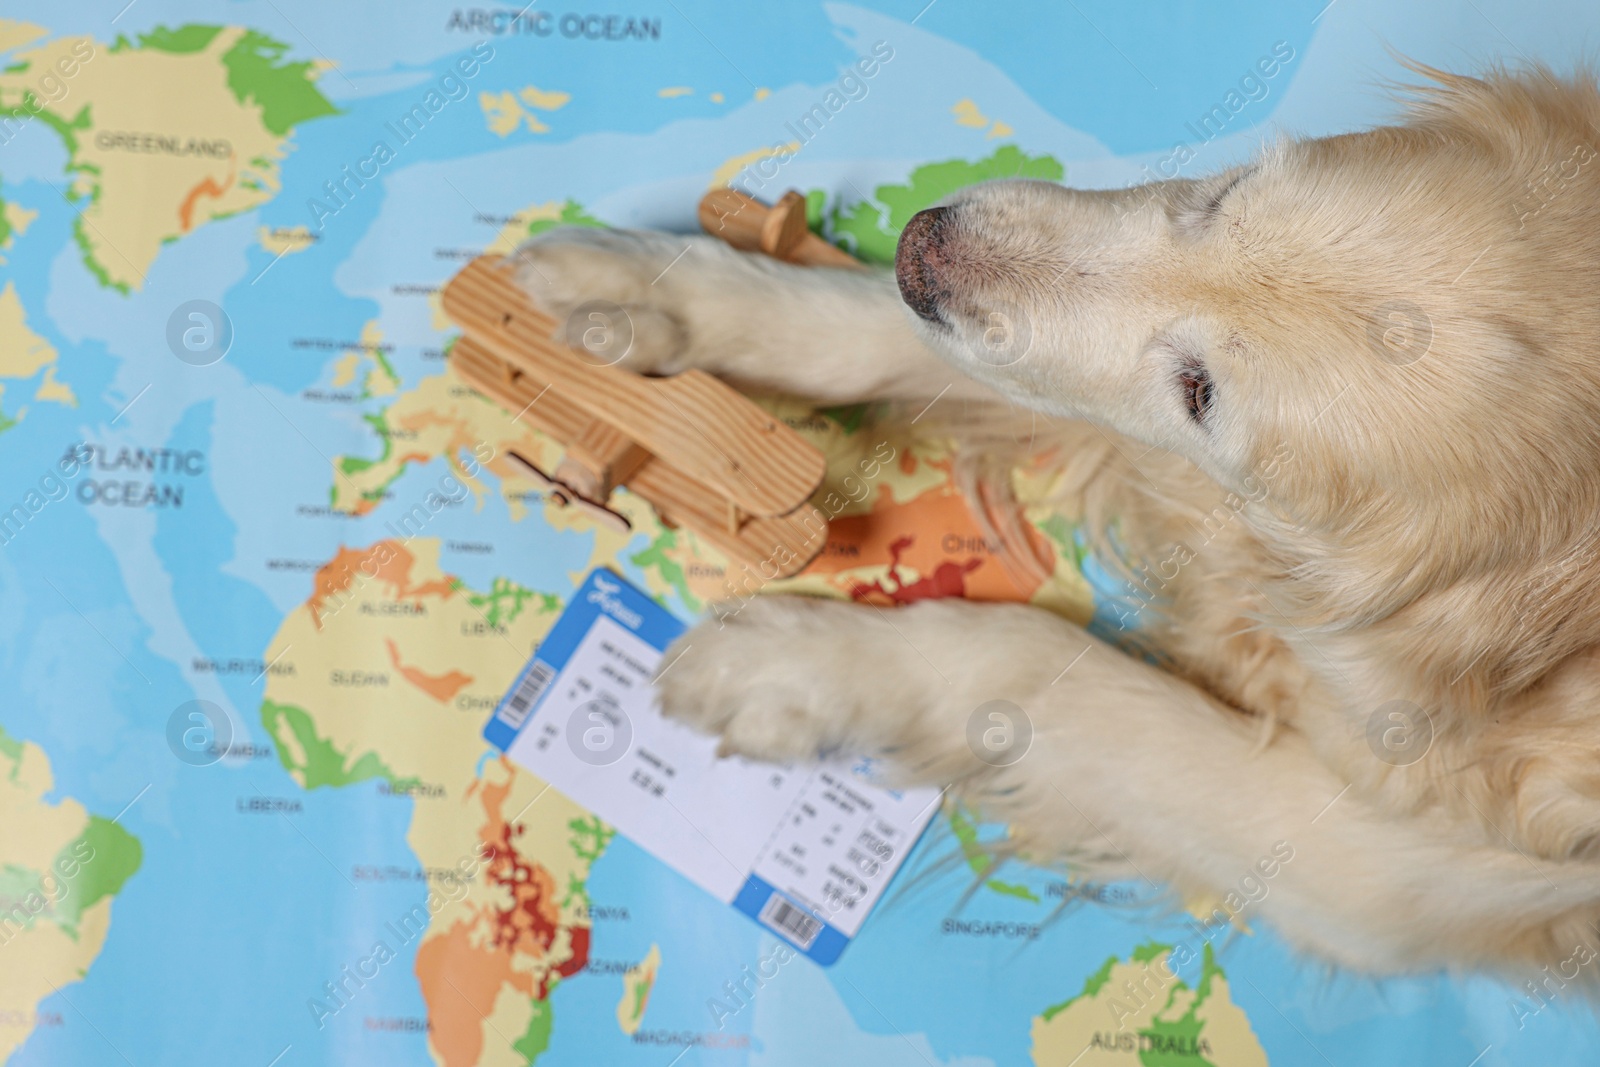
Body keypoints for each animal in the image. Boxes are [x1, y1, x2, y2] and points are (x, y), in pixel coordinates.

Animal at [512, 64, 1600, 985]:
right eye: (1223, 193)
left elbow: (1045, 671)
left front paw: (792, 667)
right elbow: (885, 333)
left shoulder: (1381, 870)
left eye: (1202, 392)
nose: (922, 244)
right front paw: (664, 293)